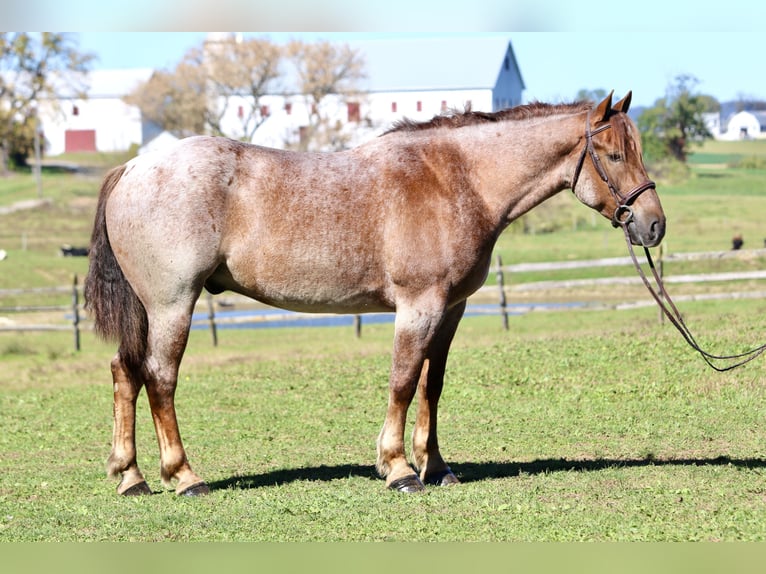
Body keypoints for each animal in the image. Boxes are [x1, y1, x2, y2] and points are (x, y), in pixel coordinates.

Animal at [84, 91, 665, 496]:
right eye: (614, 155)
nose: (654, 225)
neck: (457, 179)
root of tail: (133, 168)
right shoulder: (418, 306)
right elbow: (403, 382)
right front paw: (399, 469)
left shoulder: (450, 310)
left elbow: (432, 386)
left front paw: (437, 467)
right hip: (172, 305)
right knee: (160, 379)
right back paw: (184, 476)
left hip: (147, 311)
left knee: (124, 373)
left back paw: (131, 477)